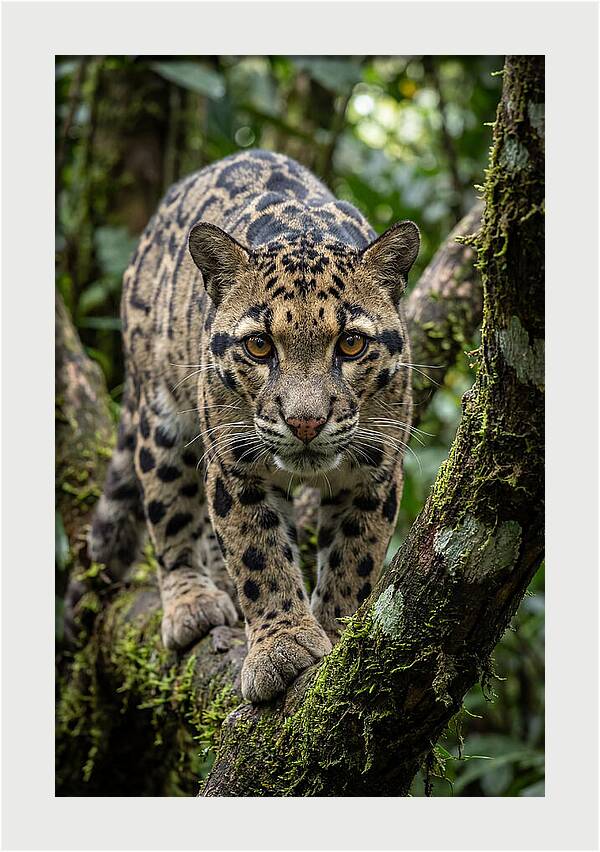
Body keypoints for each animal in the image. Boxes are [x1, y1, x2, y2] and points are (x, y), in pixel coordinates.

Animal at [89, 149, 419, 703]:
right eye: (259, 346)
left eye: (351, 344)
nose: (305, 421)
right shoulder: (235, 464)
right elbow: (258, 555)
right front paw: (281, 648)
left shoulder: (375, 469)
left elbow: (355, 557)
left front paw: (337, 632)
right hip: (160, 415)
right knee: (169, 511)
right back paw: (193, 602)